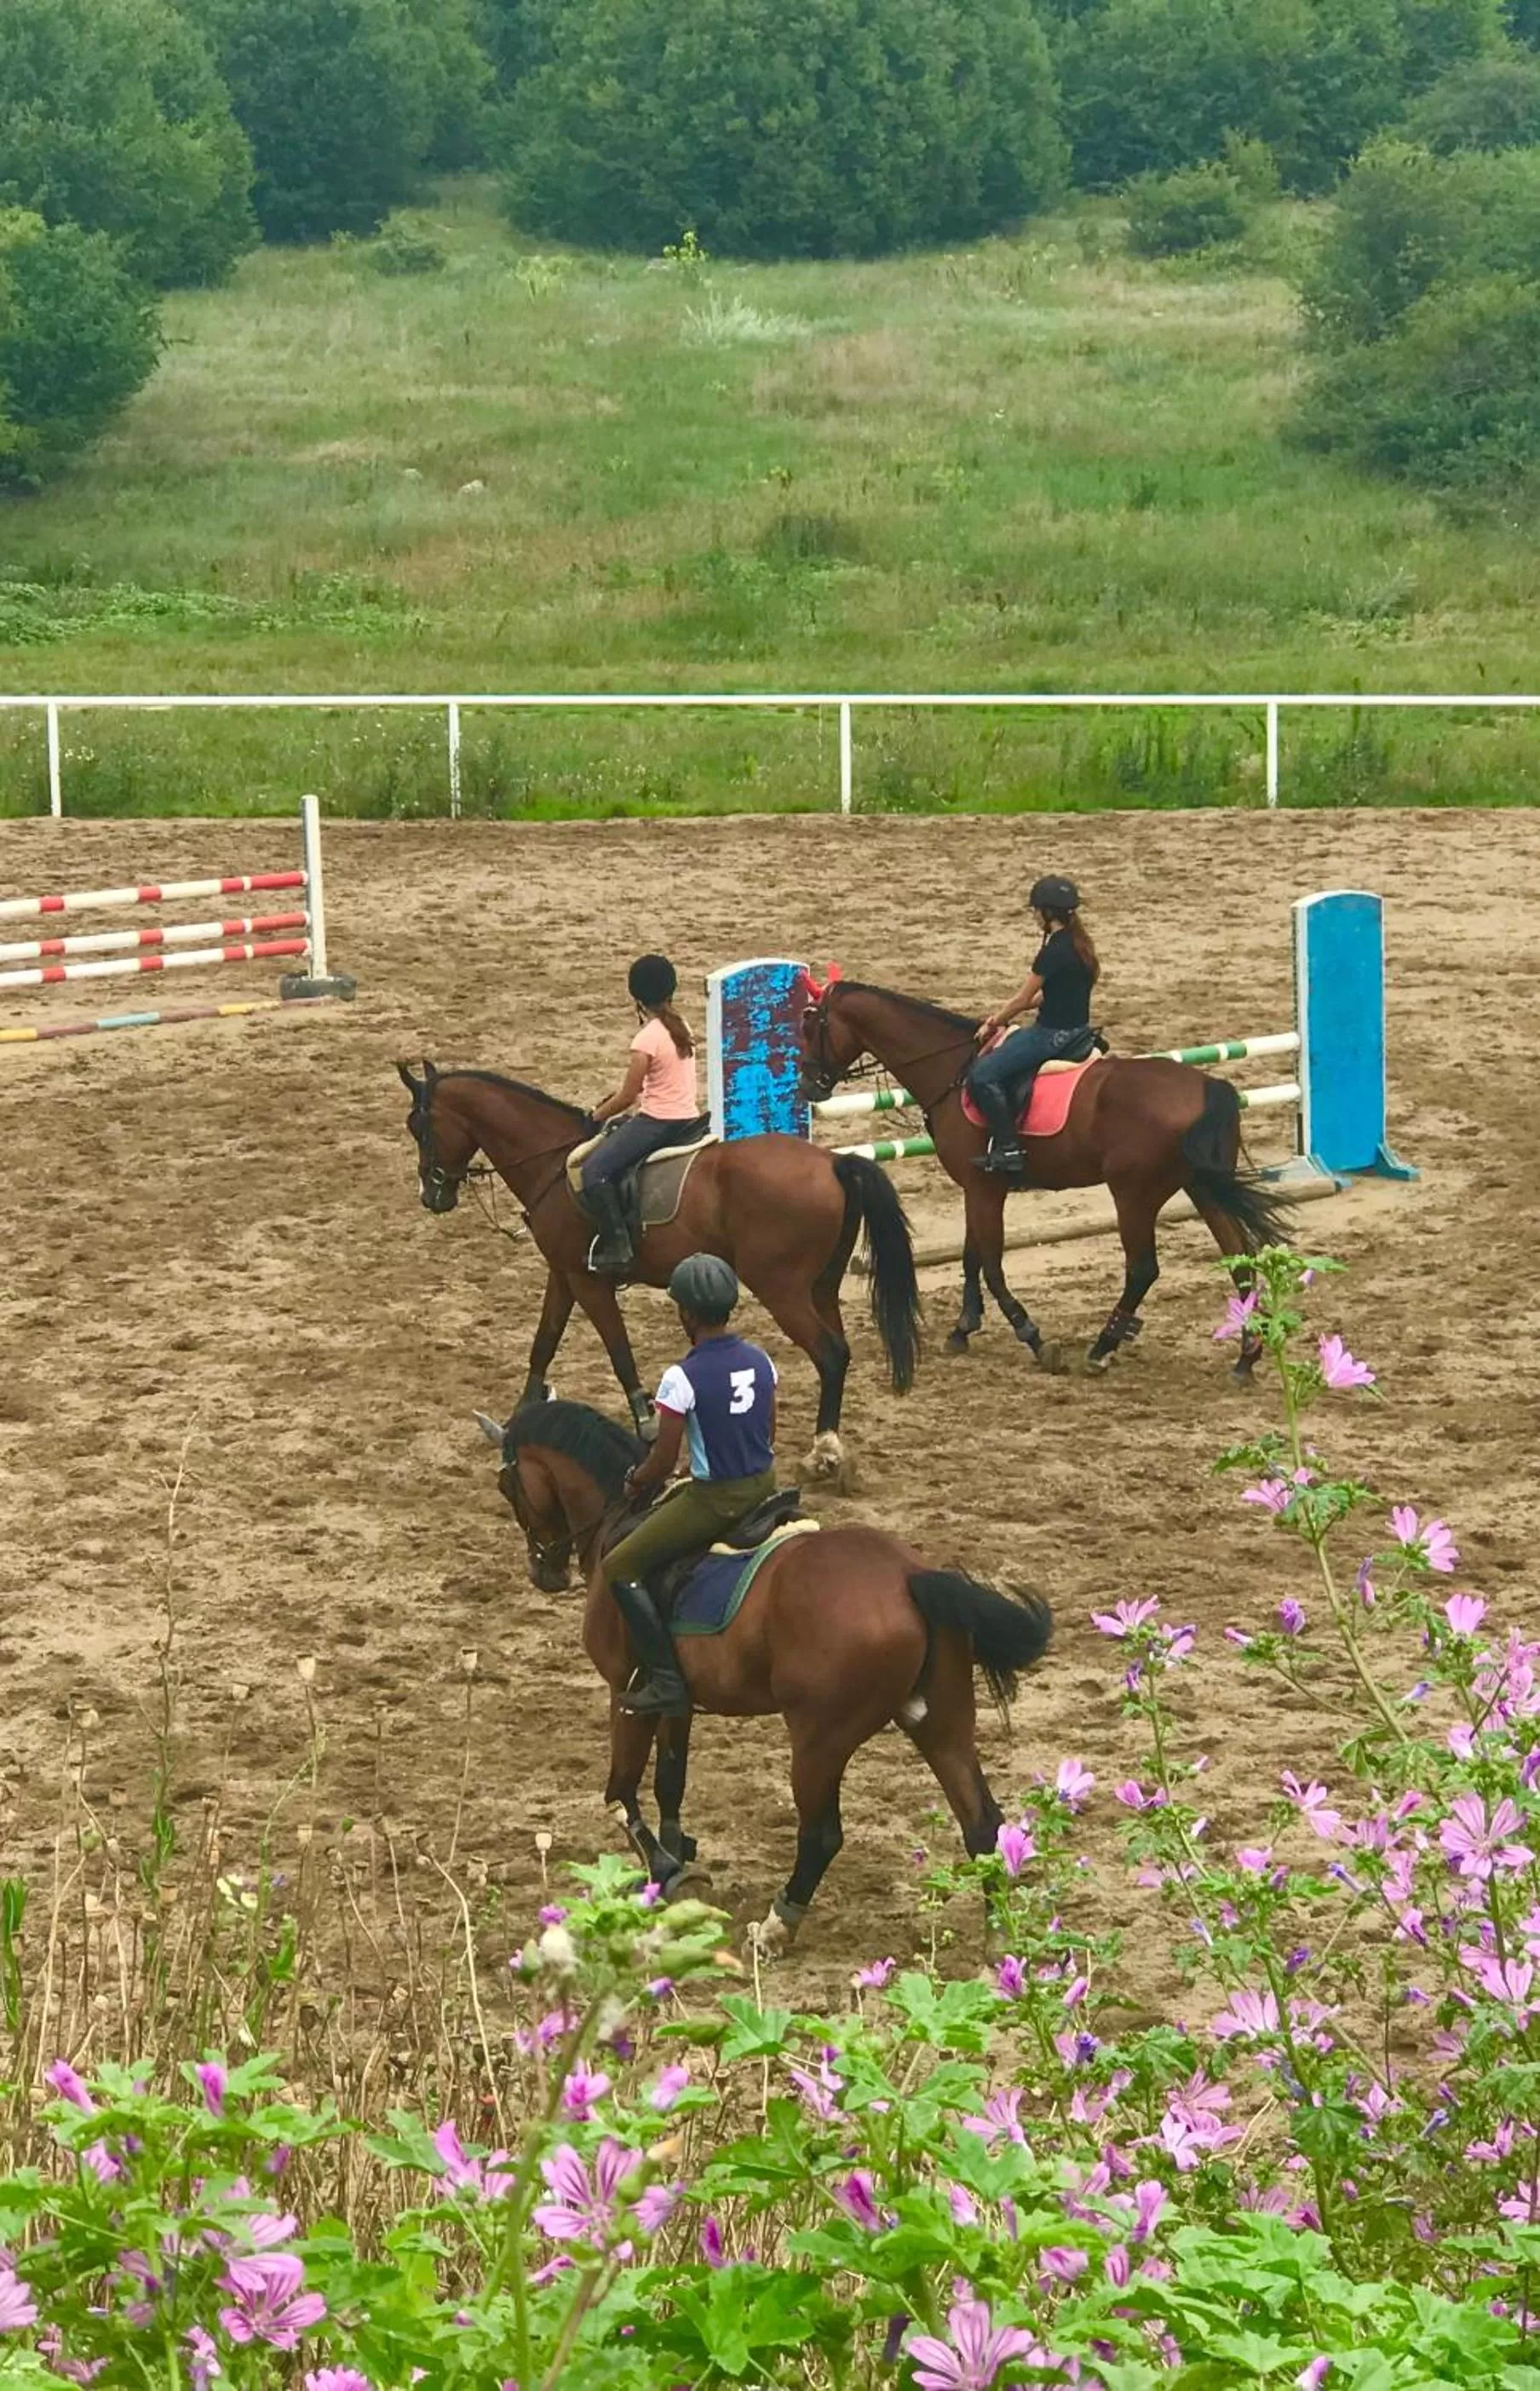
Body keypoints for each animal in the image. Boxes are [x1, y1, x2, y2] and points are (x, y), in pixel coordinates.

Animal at [398, 1062, 921, 1485]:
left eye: (420, 1127)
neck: (551, 1162)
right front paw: (517, 1419)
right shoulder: (563, 1274)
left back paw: (822, 1455)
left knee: (830, 1355)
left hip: (782, 1289)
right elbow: (543, 1343)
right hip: (822, 1287)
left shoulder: (588, 1281)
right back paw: (830, 1447)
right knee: (841, 1352)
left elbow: (619, 1352)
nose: (432, 1196)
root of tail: (835, 1163)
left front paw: (646, 1423)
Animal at [476, 1396, 1053, 1951]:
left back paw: (778, 1925)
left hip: (821, 1739)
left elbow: (620, 1793)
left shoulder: (626, 1693)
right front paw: (678, 1851)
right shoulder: (674, 1699)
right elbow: (669, 1782)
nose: (545, 1572)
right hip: (941, 1721)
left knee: (822, 1835)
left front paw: (666, 1868)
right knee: (981, 1822)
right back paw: (998, 1934)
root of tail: (910, 1578)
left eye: (507, 1485)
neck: (622, 1518)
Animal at [798, 980, 1291, 1374]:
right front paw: (963, 1329)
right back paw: (1247, 1356)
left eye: (809, 1029)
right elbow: (972, 1256)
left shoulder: (984, 1188)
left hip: (1134, 1195)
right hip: (1202, 1188)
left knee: (1142, 1270)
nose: (808, 1087)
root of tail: (1209, 1087)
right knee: (1239, 1258)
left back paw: (1103, 1348)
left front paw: (1032, 1338)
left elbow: (992, 1265)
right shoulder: (978, 1188)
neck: (951, 1069)